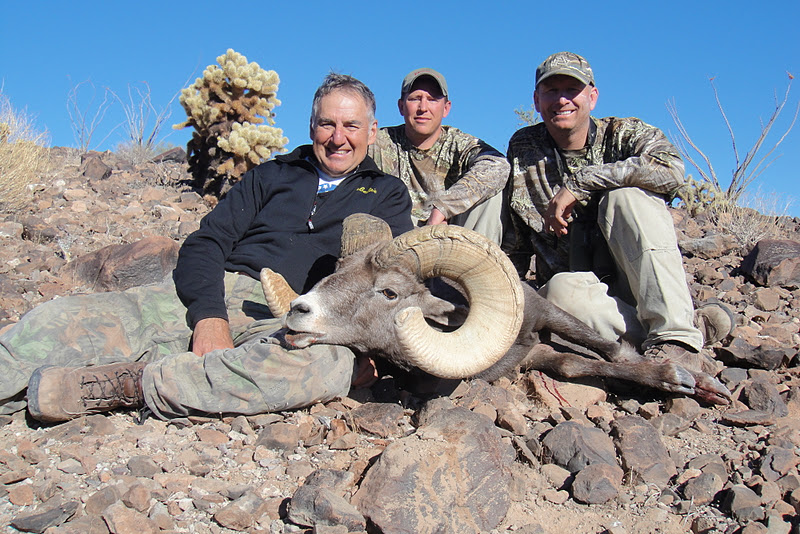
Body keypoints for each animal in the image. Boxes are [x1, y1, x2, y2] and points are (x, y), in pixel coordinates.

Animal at [261, 213, 730, 405]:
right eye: (338, 270)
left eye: (390, 292)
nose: (299, 311)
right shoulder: (529, 358)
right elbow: (571, 365)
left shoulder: (545, 315)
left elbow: (610, 350)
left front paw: (690, 381)